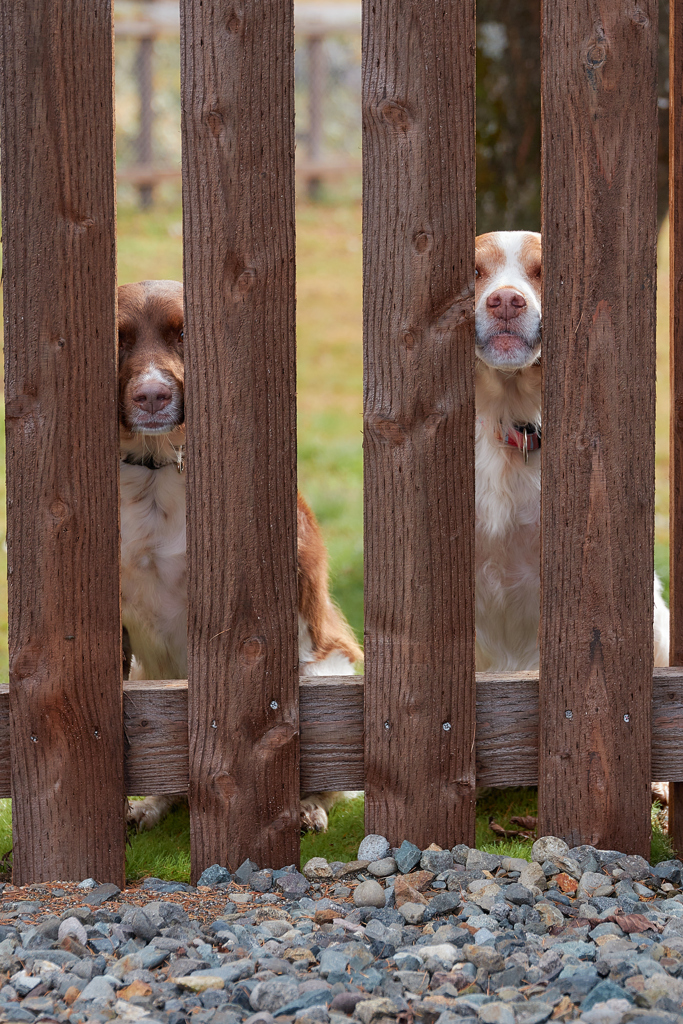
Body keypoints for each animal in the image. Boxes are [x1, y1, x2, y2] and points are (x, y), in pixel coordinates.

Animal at [120, 280, 362, 831]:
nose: (151, 396)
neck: (158, 468)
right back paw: (151, 805)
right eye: (120, 339)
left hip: (327, 670)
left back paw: (305, 809)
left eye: (184, 333)